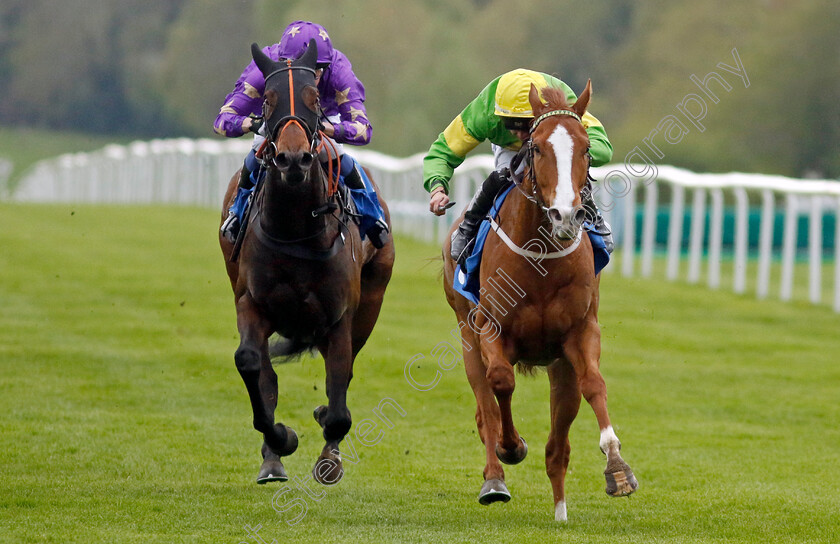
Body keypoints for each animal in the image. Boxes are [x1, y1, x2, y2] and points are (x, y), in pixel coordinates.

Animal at [220, 41, 398, 484]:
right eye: (267, 99)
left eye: (314, 97)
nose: (294, 159)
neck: (296, 229)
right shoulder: (251, 302)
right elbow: (252, 364)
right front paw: (280, 439)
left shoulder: (339, 317)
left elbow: (338, 403)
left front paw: (327, 451)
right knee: (266, 372)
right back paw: (272, 459)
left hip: (371, 303)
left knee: (344, 374)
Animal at [440, 79, 636, 520]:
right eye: (538, 148)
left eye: (586, 147)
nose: (566, 215)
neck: (541, 257)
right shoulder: (490, 330)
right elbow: (501, 382)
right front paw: (511, 448)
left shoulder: (580, 332)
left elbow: (595, 384)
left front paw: (617, 467)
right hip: (466, 336)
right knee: (486, 407)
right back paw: (495, 478)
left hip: (559, 367)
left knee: (557, 446)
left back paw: (560, 511)